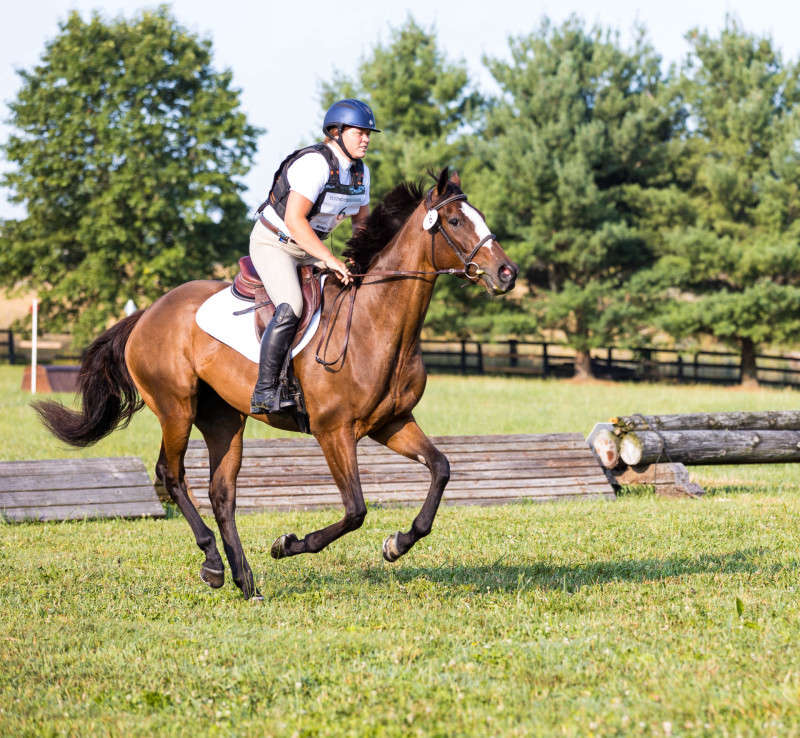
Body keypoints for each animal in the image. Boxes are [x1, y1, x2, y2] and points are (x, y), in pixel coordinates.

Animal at [36, 168, 520, 600]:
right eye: (455, 221)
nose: (507, 273)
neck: (378, 322)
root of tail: (148, 313)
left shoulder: (392, 423)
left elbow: (441, 469)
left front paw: (397, 544)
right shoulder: (333, 431)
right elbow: (355, 510)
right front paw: (288, 545)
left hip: (223, 418)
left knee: (222, 493)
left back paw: (245, 582)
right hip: (176, 408)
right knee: (171, 476)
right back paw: (213, 564)